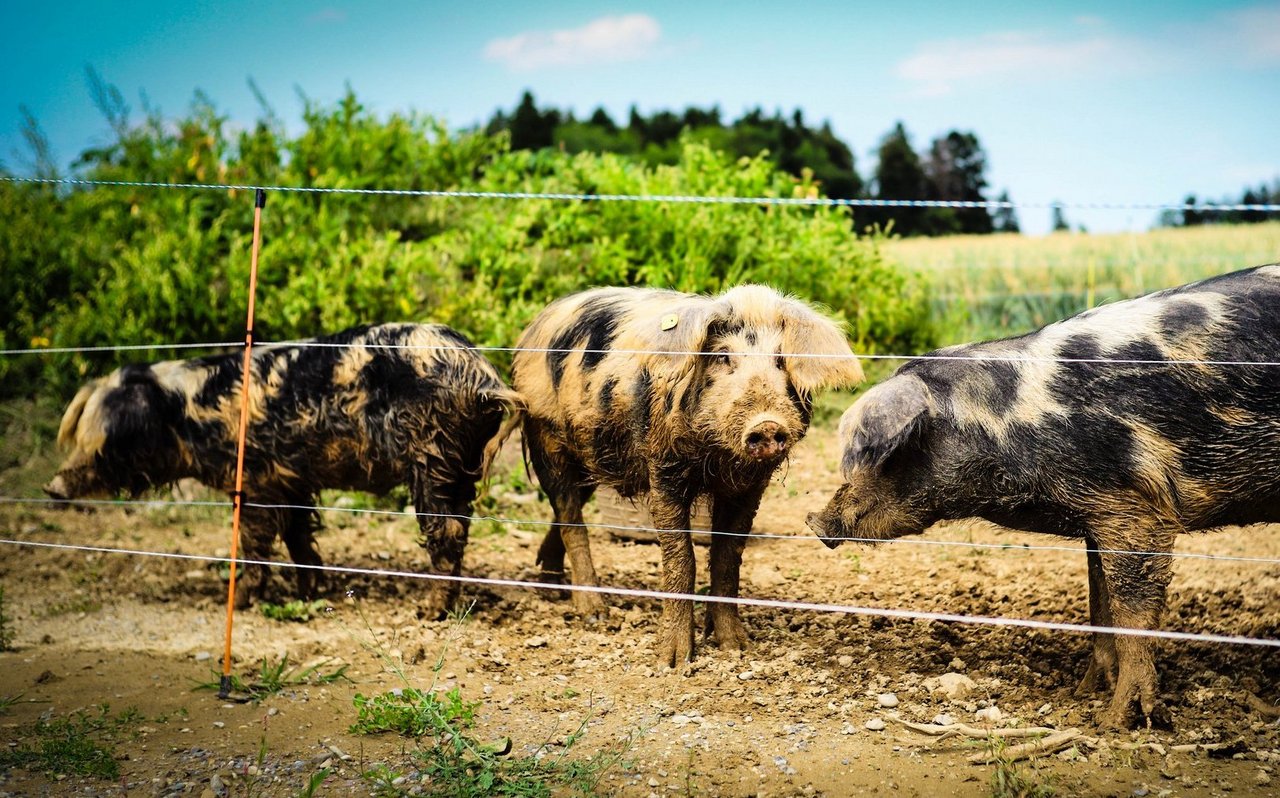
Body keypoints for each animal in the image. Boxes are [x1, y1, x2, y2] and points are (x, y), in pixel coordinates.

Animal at [46, 321, 519, 614]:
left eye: (104, 445)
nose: (51, 488)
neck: (187, 414)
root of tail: (481, 374)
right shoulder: (292, 481)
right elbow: (298, 537)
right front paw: (312, 594)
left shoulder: (256, 480)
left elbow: (254, 542)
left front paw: (238, 604)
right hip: (461, 464)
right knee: (461, 525)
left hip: (432, 454)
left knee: (446, 529)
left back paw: (428, 611)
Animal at [504, 284, 865, 666]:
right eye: (722, 357)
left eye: (782, 360)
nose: (767, 424)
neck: (717, 458)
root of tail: (540, 322)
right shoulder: (662, 467)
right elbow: (682, 559)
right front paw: (675, 661)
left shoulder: (750, 487)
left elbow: (728, 559)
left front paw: (737, 647)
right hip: (547, 438)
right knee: (571, 518)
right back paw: (593, 612)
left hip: (595, 455)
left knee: (565, 512)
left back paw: (551, 582)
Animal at [803, 265, 1280, 727]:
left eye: (888, 450)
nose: (814, 522)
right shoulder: (1095, 517)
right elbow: (1098, 604)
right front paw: (1085, 693)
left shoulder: (1135, 511)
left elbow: (1130, 612)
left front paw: (1113, 723)